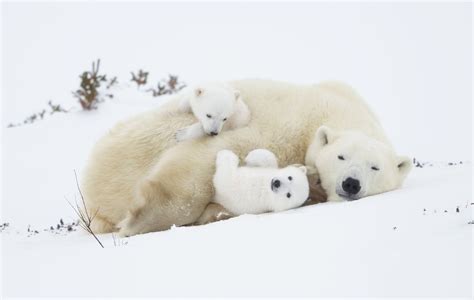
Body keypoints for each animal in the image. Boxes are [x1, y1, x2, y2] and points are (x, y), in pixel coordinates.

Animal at [81, 79, 412, 237]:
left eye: (374, 167)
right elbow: (210, 156)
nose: (351, 184)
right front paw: (138, 221)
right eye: (341, 157)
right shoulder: (285, 123)